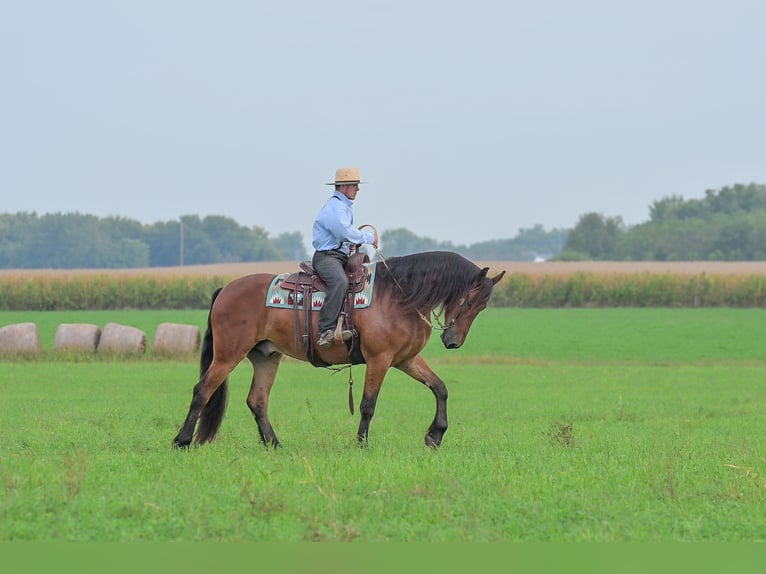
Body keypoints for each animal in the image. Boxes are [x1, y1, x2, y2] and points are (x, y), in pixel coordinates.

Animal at [172, 250, 505, 449]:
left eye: (482, 306)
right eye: (470, 300)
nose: (453, 341)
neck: (397, 296)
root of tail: (226, 289)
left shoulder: (406, 359)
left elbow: (440, 388)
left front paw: (435, 435)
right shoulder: (379, 360)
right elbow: (368, 404)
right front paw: (361, 444)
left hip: (266, 357)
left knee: (257, 401)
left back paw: (275, 445)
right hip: (228, 354)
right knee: (202, 391)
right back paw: (182, 440)